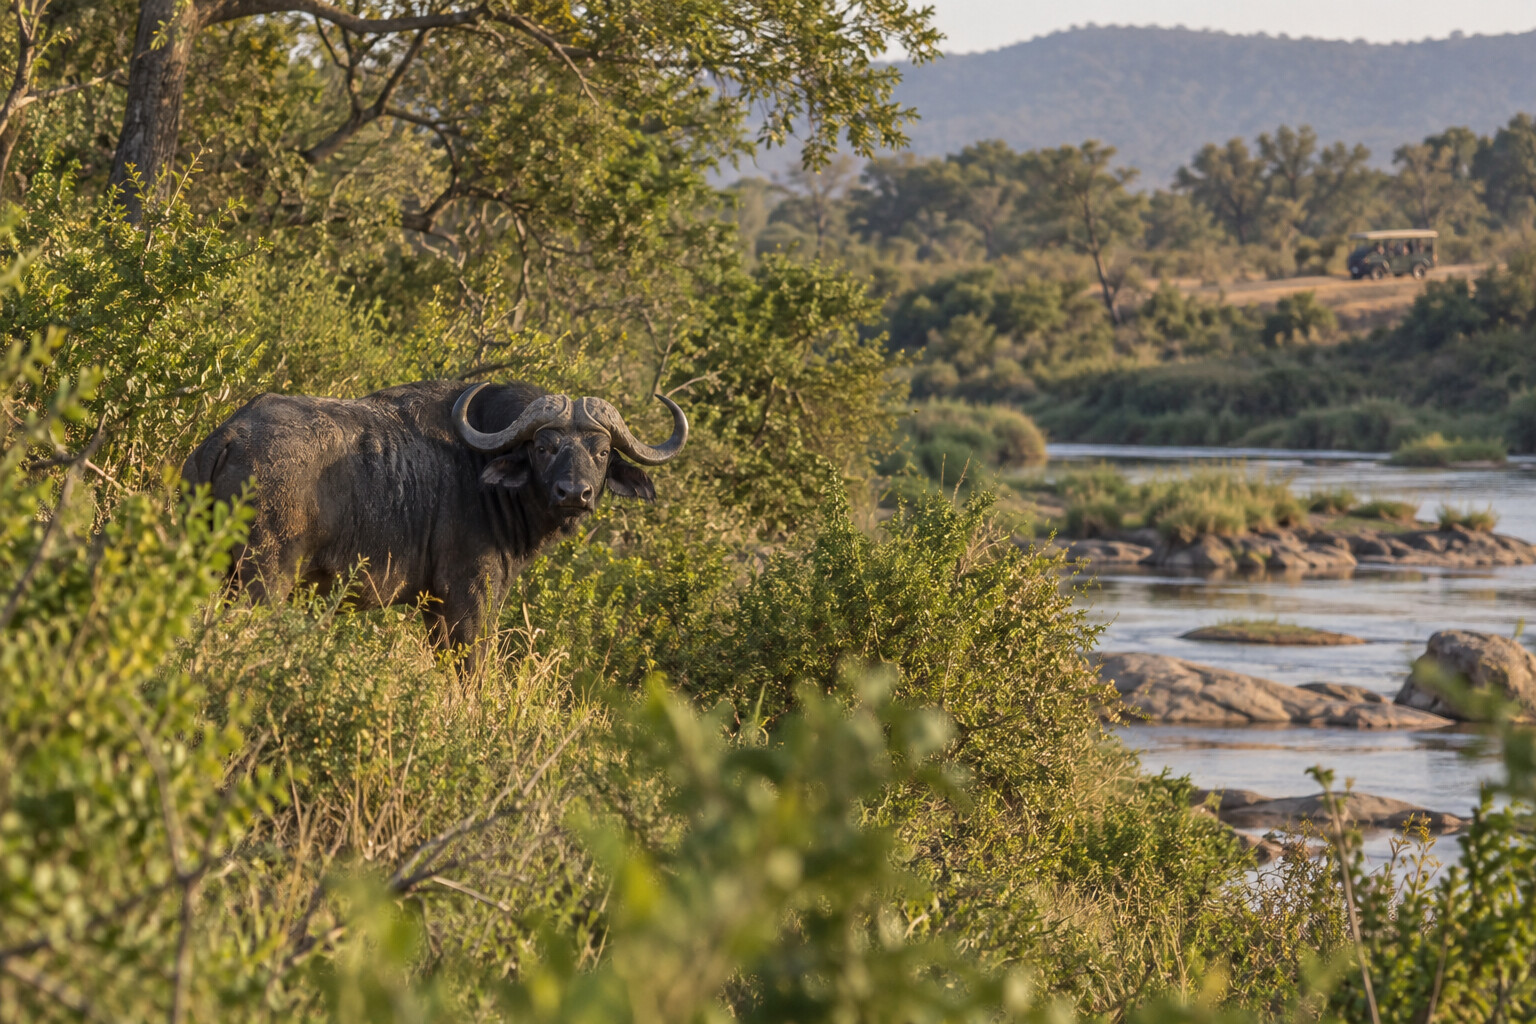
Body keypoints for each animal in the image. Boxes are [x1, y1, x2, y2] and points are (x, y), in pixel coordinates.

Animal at [183, 380, 687, 661]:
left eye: (600, 452)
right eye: (544, 447)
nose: (574, 494)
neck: (481, 472)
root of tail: (229, 434)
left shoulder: (434, 610)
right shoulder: (470, 598)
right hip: (264, 580)